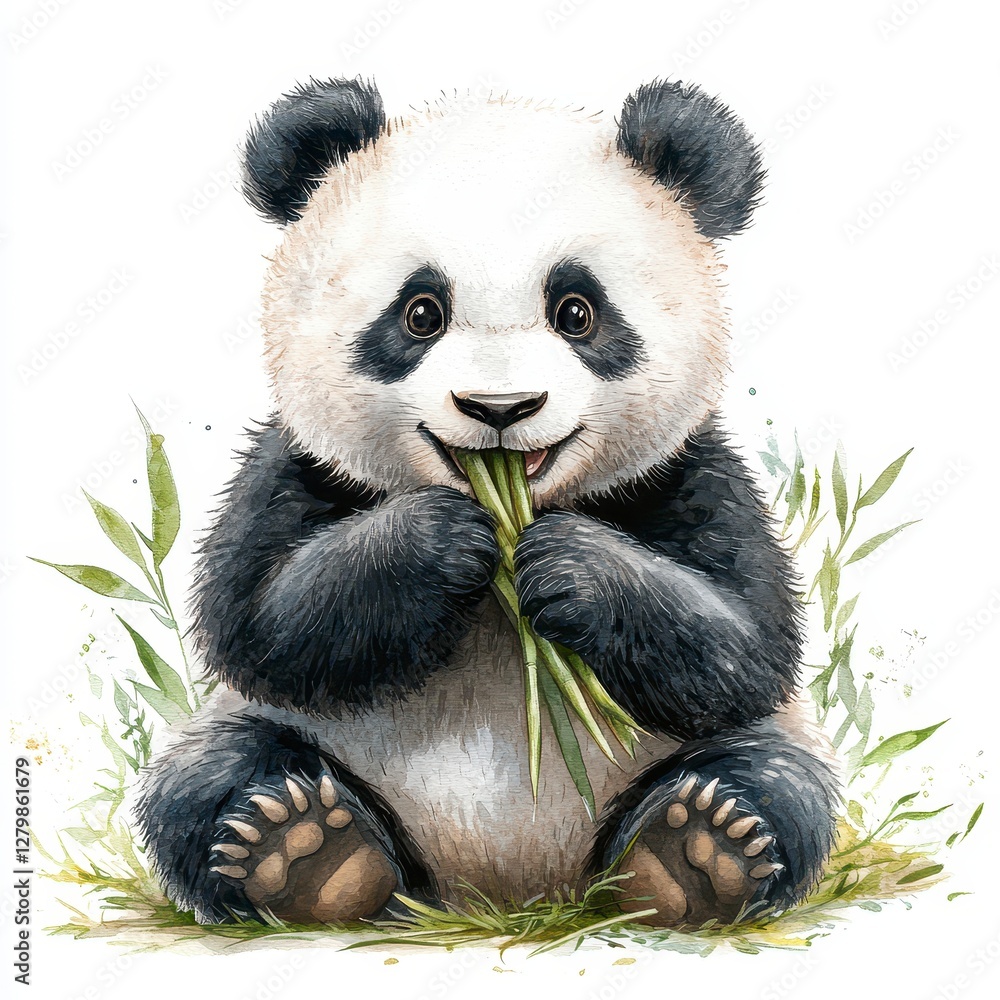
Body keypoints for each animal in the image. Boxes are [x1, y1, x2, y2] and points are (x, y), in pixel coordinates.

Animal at [136, 76, 839, 929]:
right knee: (207, 774)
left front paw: (569, 566)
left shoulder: (690, 475)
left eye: (577, 311)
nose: (499, 408)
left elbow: (747, 644)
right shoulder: (294, 468)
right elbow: (257, 621)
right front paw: (437, 543)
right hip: (272, 740)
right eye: (420, 313)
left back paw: (699, 853)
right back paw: (302, 852)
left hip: (740, 756)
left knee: (775, 776)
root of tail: (503, 893)